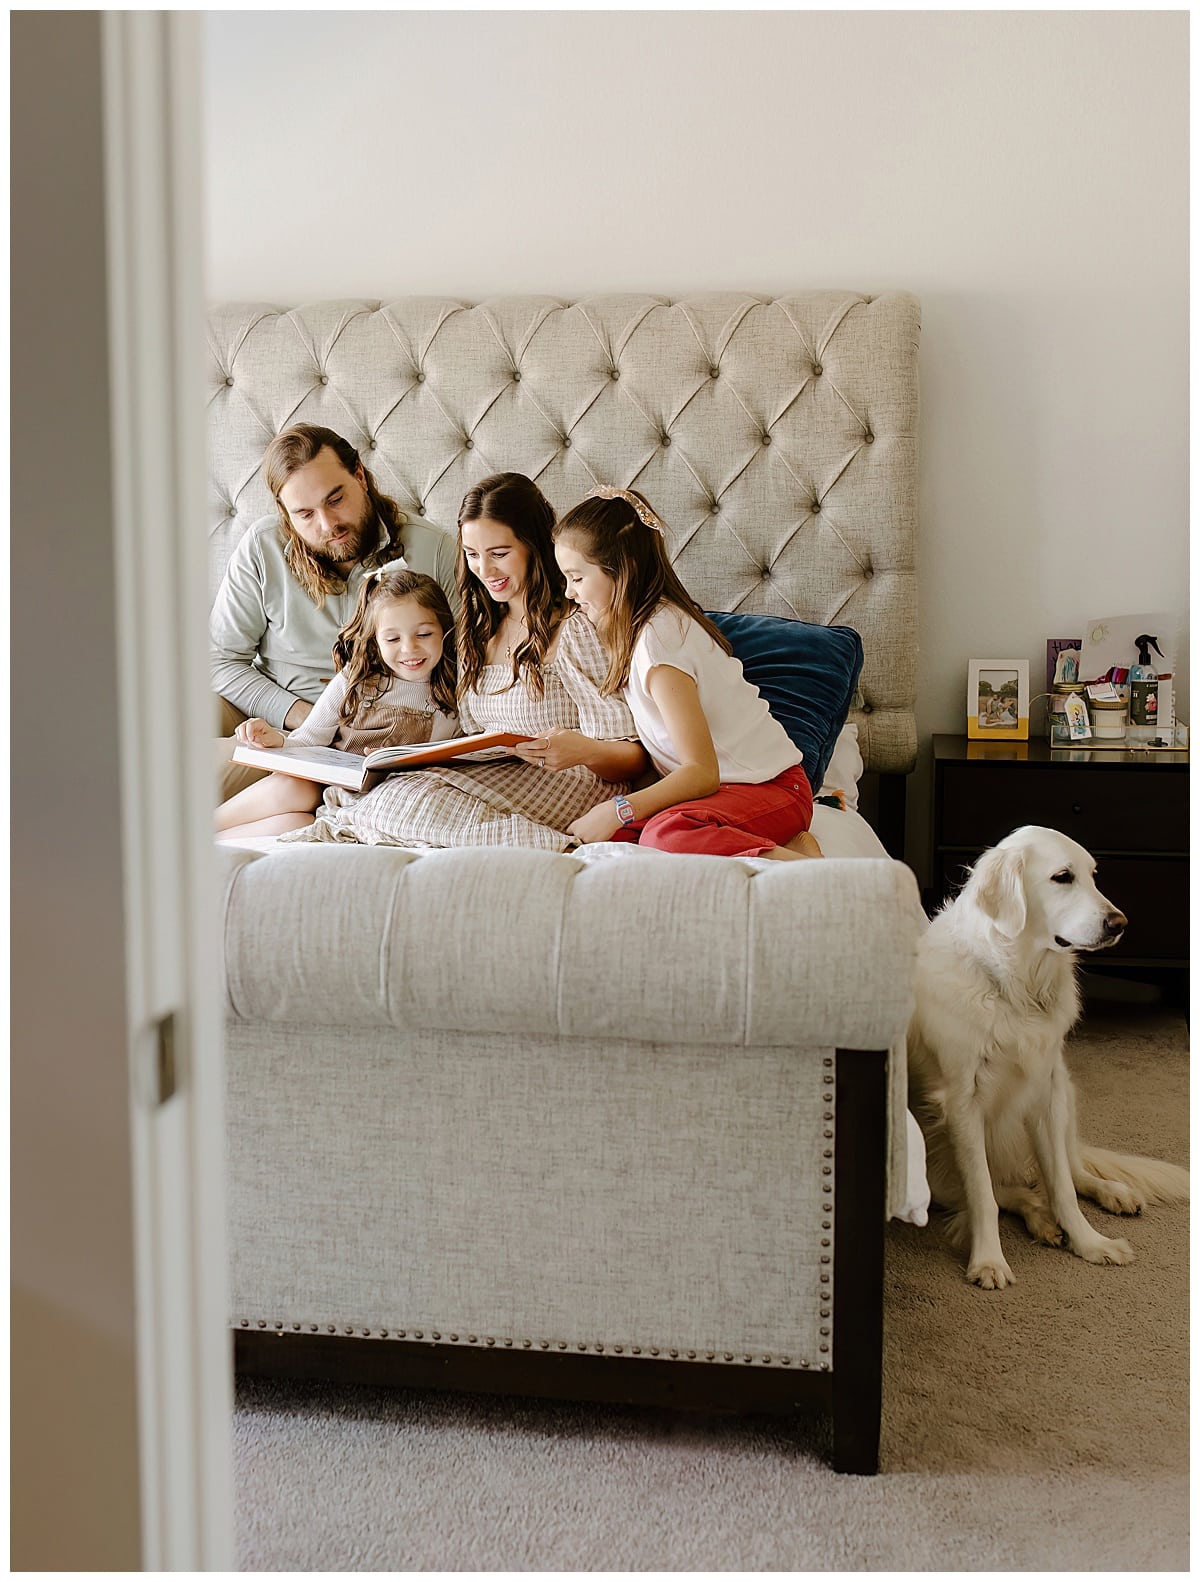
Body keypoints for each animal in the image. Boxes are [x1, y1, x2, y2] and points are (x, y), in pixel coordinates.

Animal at [910, 822, 1195, 1290]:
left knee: (1072, 1170)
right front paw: (989, 1261)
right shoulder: (962, 1104)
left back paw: (1111, 1193)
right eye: (1062, 877)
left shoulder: (1045, 1093)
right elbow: (983, 1195)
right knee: (1008, 1191)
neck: (1018, 986)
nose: (1119, 923)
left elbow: (1062, 1186)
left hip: (1067, 1096)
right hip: (931, 1167)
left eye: (1094, 875)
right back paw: (1040, 1219)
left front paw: (1090, 1242)